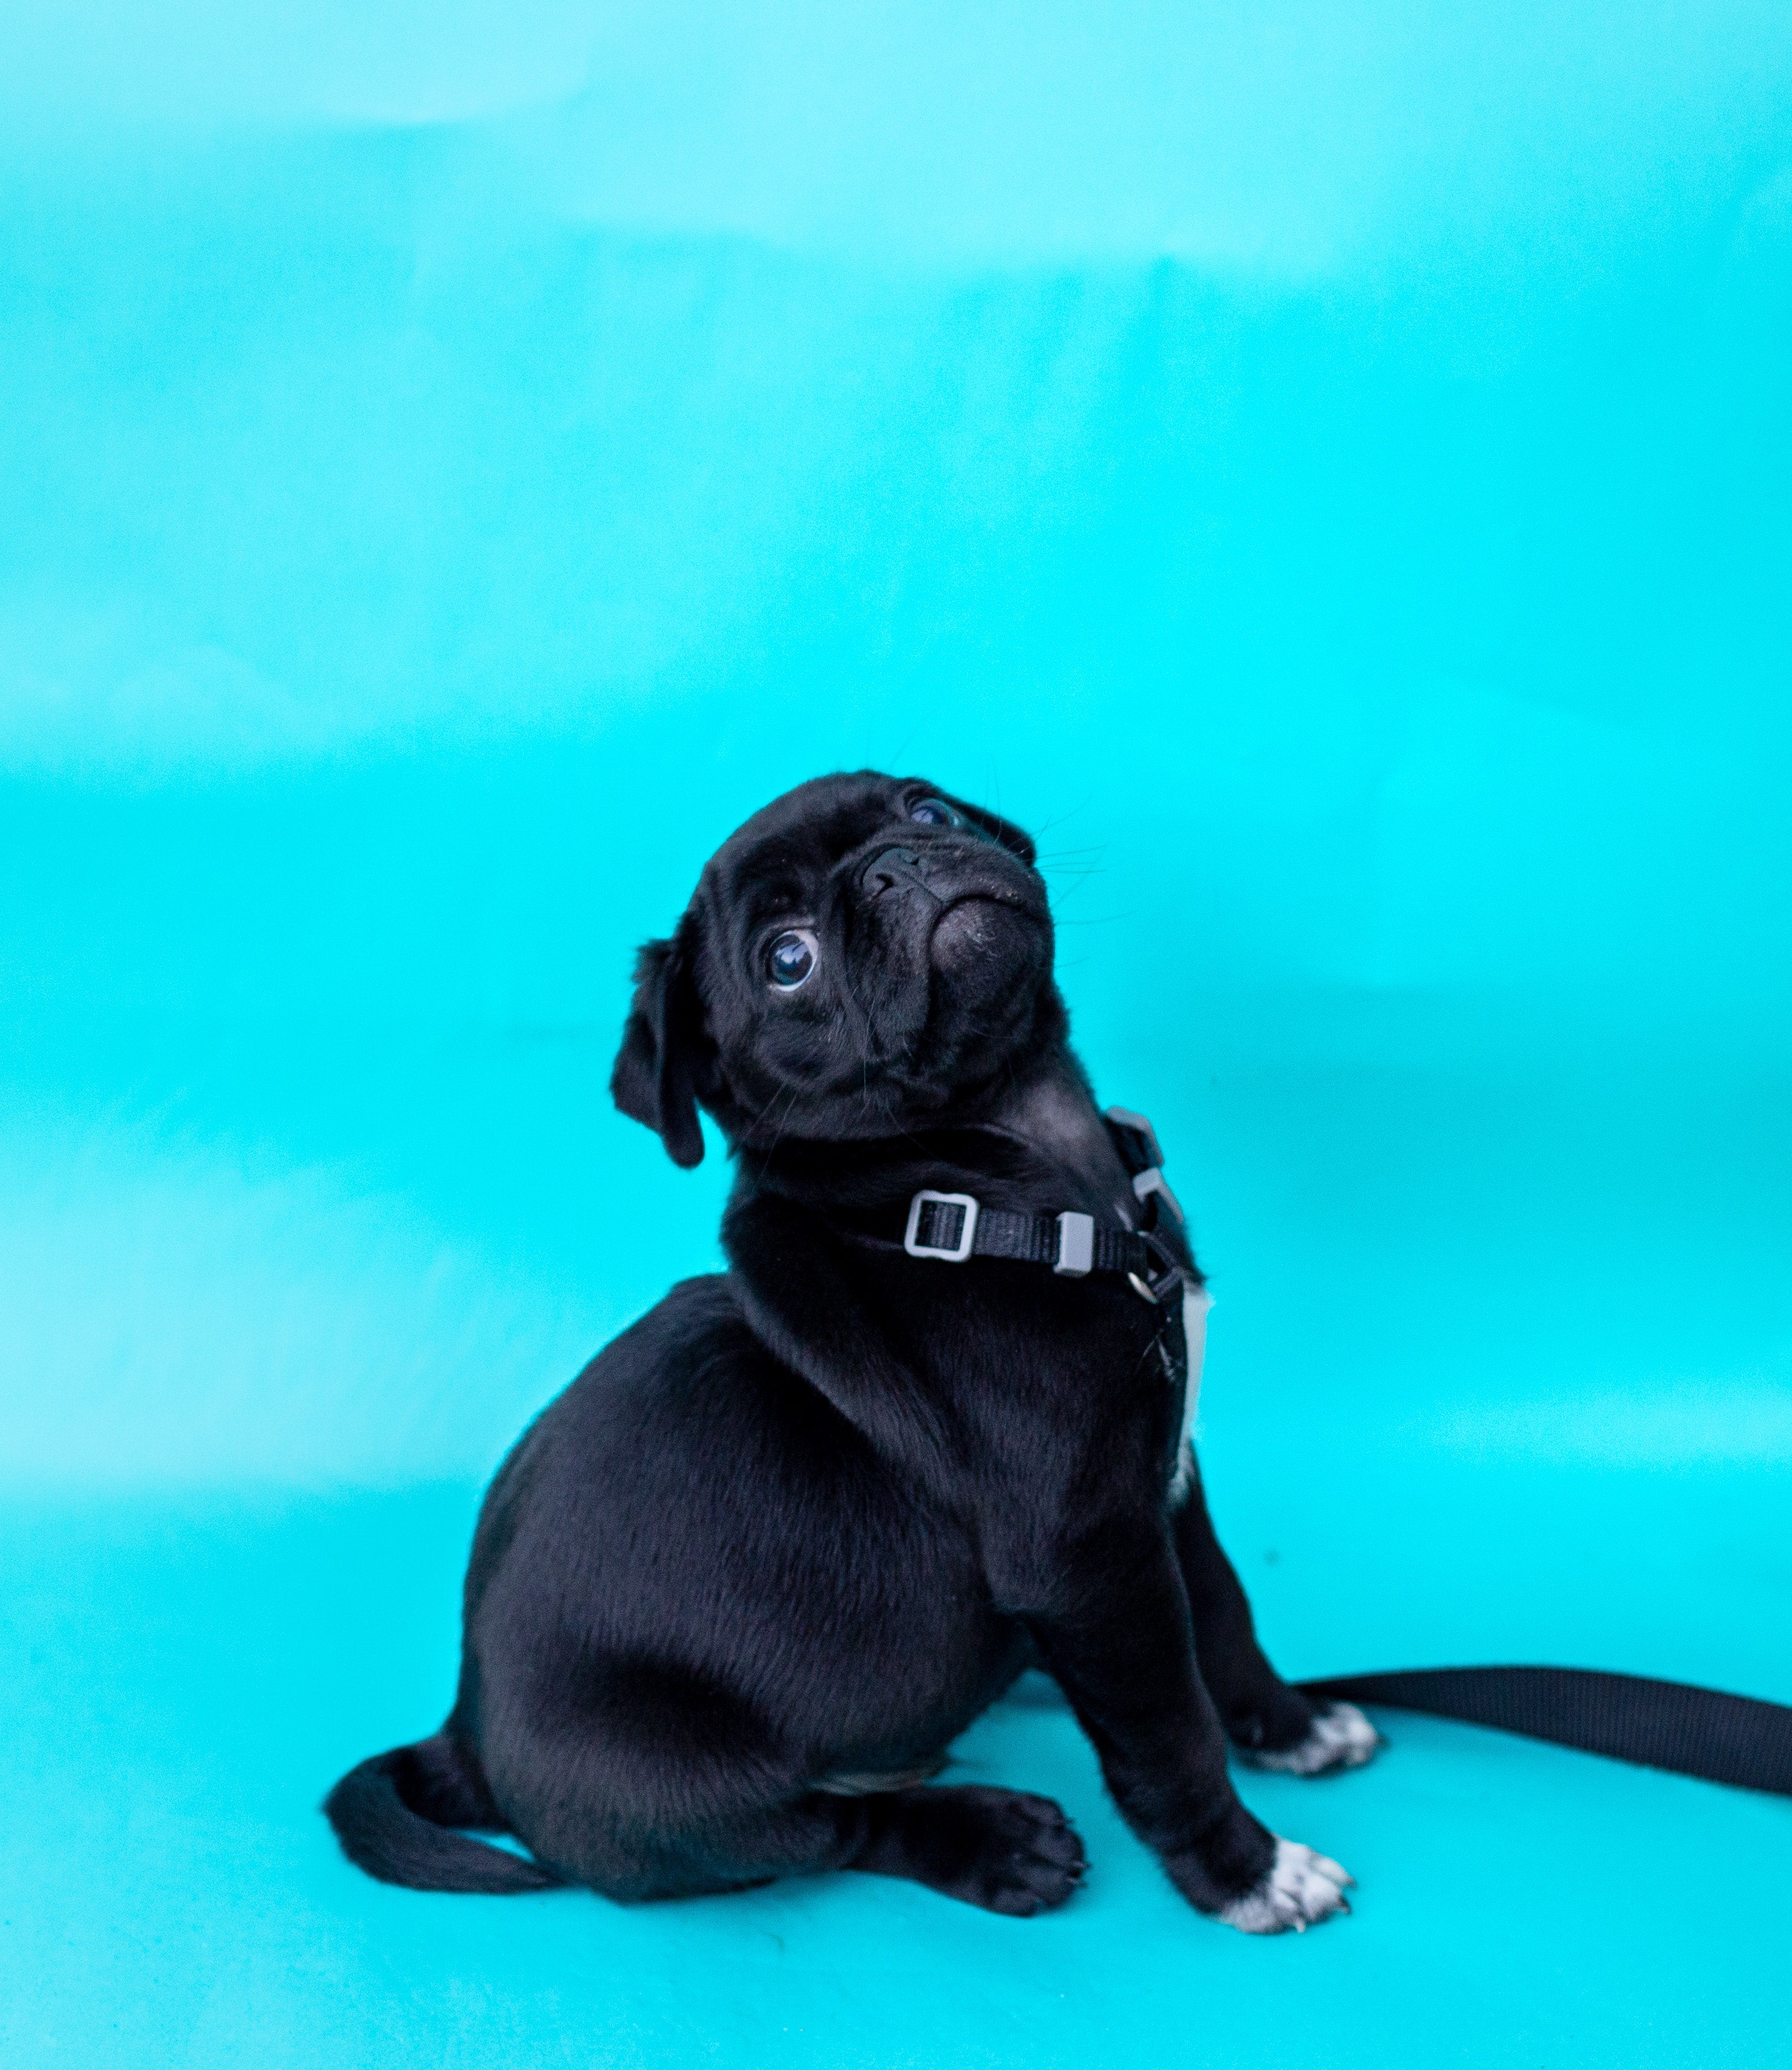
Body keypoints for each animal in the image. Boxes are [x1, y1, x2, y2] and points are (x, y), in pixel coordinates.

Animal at [329, 770, 1374, 1929]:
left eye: (929, 811)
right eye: (786, 959)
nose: (893, 863)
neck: (1004, 1178)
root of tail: (464, 1736)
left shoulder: (1164, 1480)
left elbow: (1223, 1610)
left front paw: (1291, 1724)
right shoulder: (1090, 1558)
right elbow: (1165, 1727)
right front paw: (1245, 1870)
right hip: (680, 1781)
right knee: (828, 1829)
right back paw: (994, 1841)